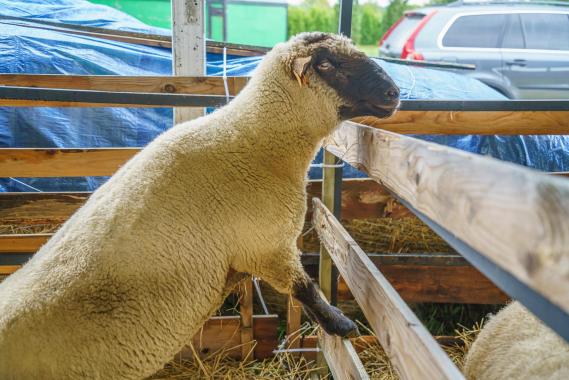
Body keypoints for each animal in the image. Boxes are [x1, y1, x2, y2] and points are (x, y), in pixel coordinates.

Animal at [0, 32, 400, 380]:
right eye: (328, 65)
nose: (394, 92)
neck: (258, 141)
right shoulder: (267, 245)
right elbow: (304, 289)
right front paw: (340, 324)